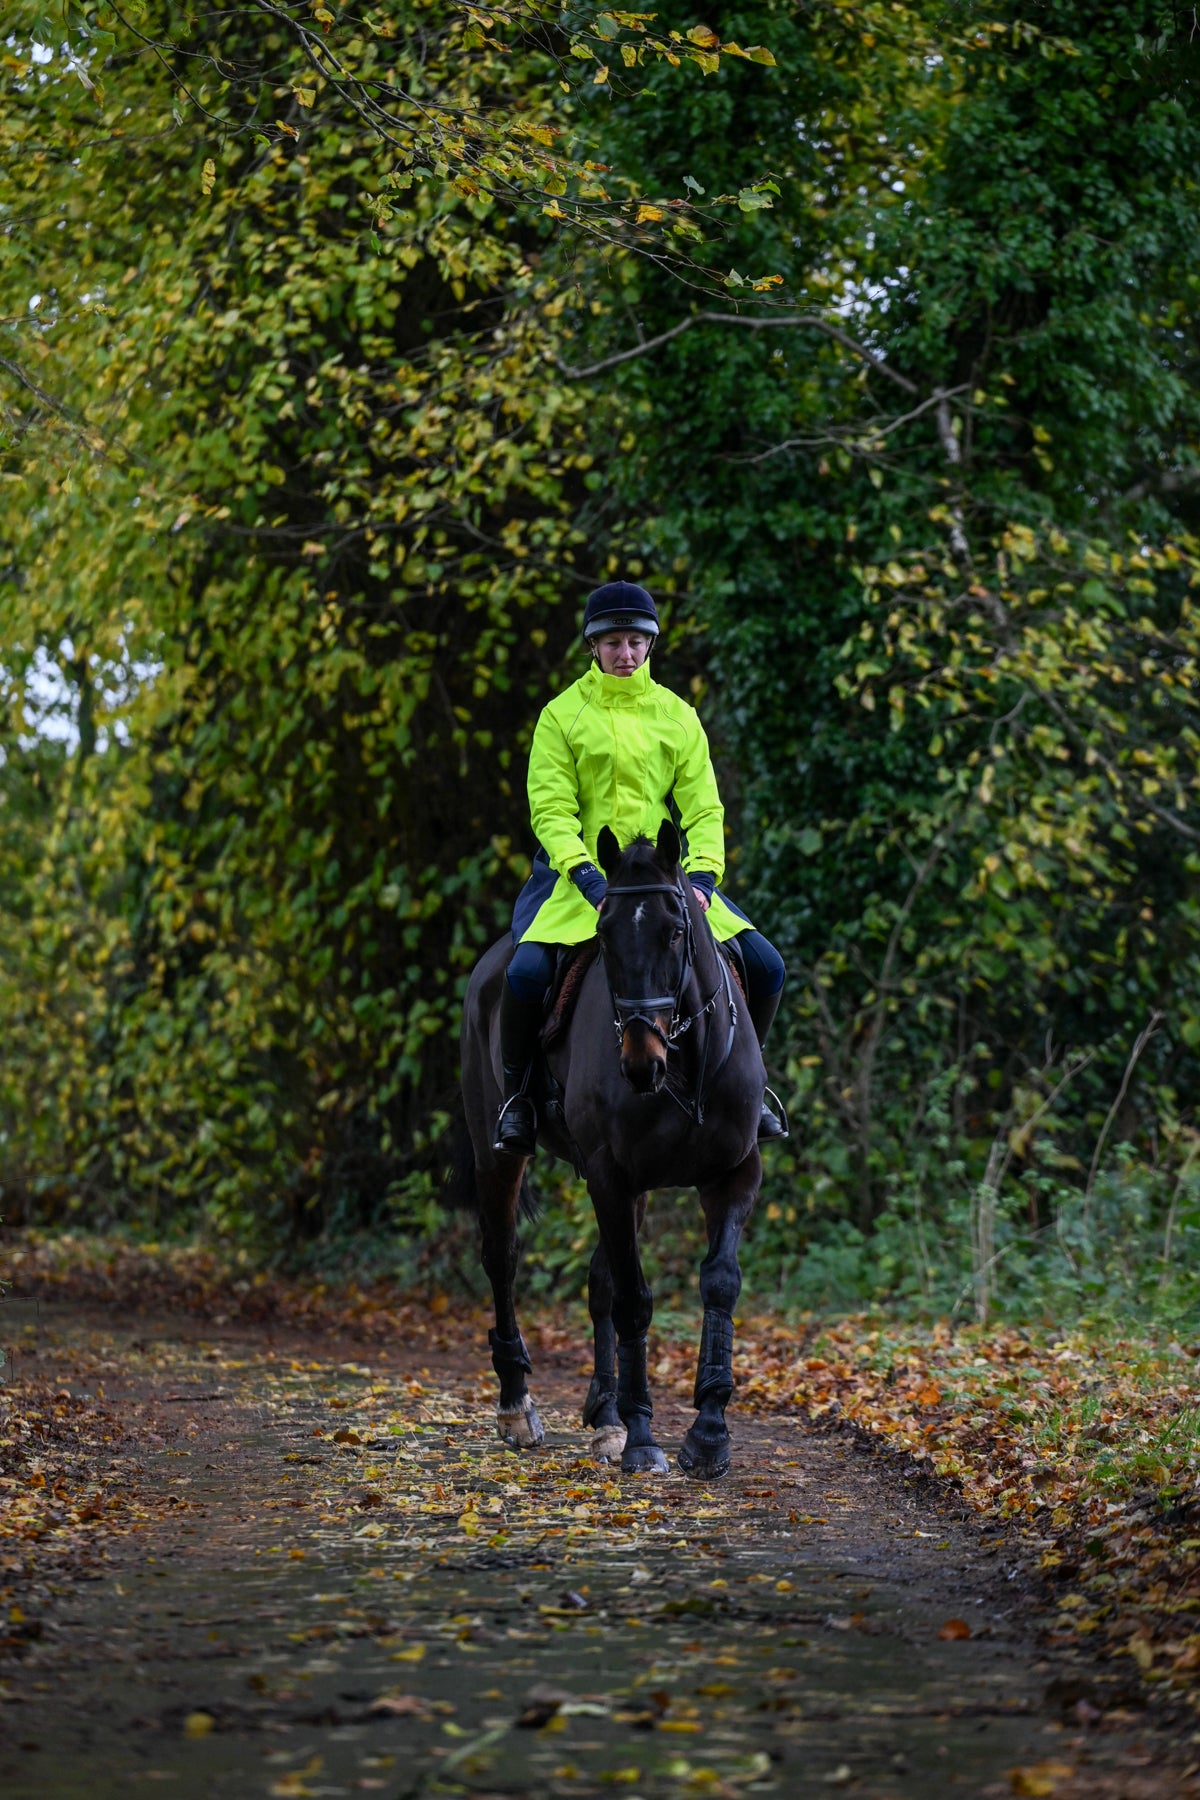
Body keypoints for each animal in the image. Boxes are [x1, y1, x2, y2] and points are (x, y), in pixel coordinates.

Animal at [455, 817, 766, 1476]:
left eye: (677, 932)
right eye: (603, 934)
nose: (641, 1062)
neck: (686, 1063)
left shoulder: (733, 1172)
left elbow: (719, 1282)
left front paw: (708, 1432)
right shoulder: (610, 1176)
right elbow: (632, 1300)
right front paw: (645, 1437)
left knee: (596, 1278)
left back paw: (604, 1417)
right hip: (500, 1155)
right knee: (502, 1257)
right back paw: (517, 1406)